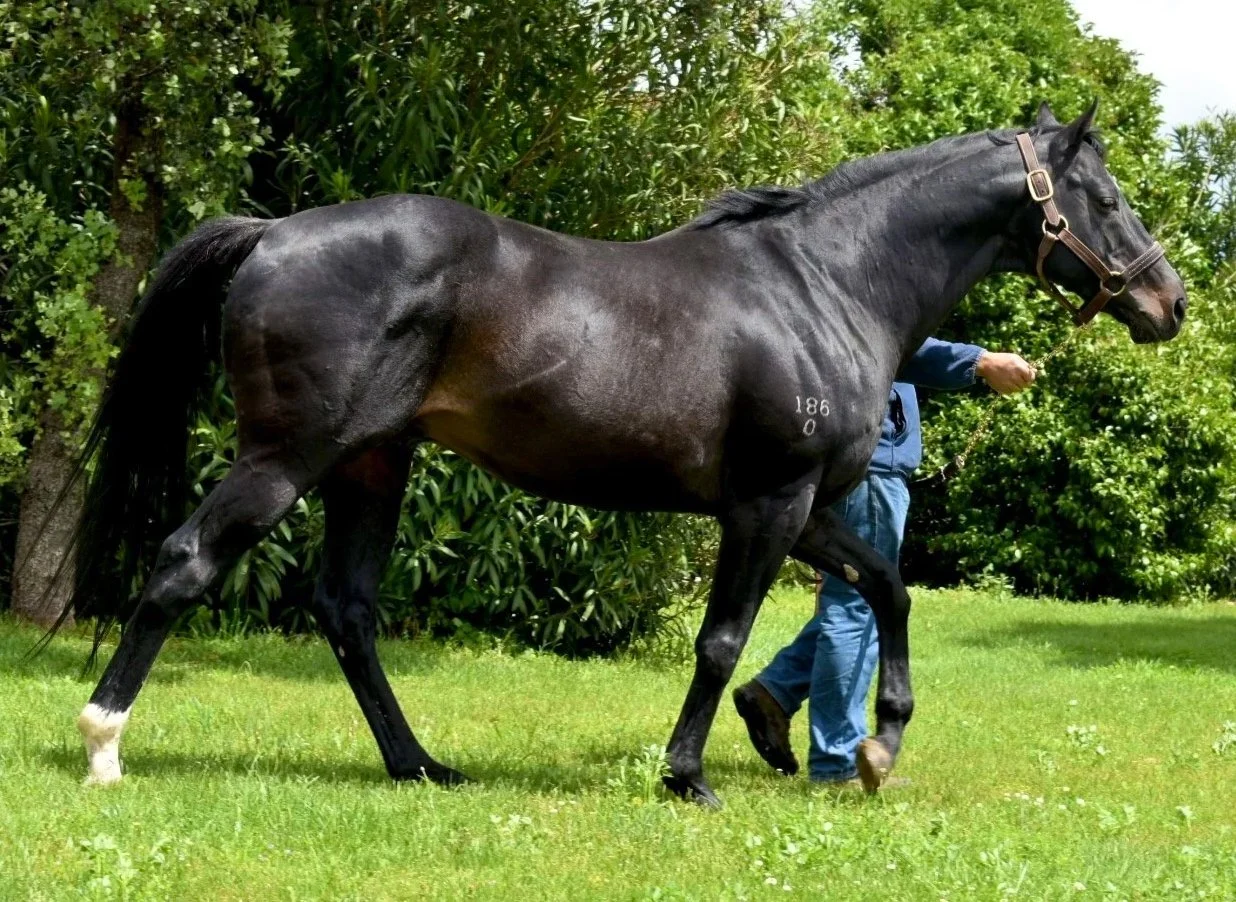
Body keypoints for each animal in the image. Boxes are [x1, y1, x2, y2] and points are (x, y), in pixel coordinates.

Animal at [61, 101, 1184, 807]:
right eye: (1107, 197)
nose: (1168, 303)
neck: (825, 283)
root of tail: (273, 233)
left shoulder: (806, 508)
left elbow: (890, 588)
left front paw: (880, 742)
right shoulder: (768, 505)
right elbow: (722, 641)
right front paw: (687, 775)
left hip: (371, 465)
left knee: (347, 611)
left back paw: (420, 765)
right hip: (286, 458)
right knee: (185, 563)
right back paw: (104, 743)